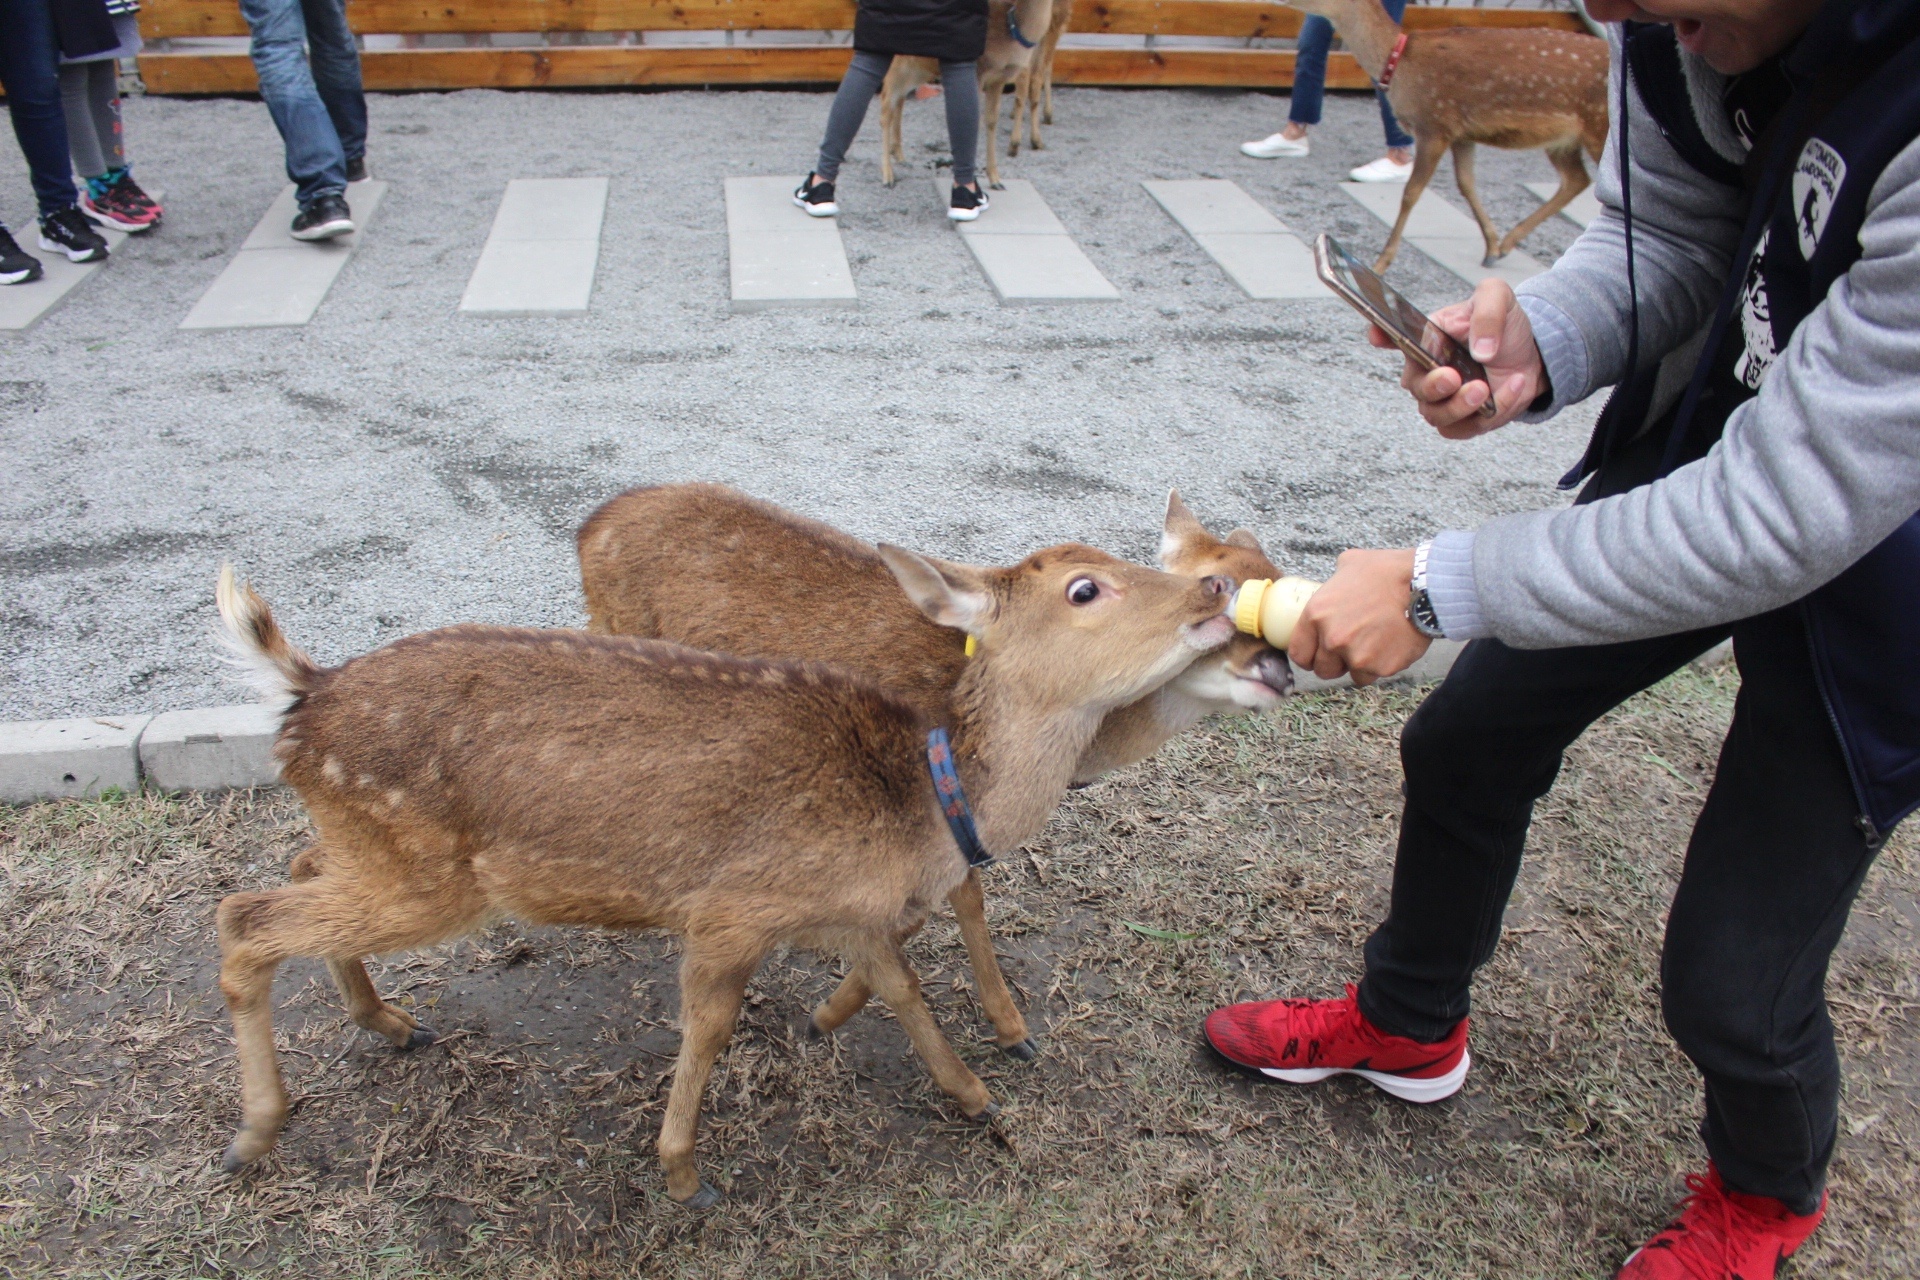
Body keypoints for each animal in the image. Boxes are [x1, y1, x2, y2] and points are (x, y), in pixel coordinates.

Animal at [210, 552, 1228, 1212]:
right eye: (1084, 585)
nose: (1216, 585)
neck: (918, 805)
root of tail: (304, 697)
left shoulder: (845, 911)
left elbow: (901, 987)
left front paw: (976, 1097)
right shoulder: (735, 909)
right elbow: (709, 1026)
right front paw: (682, 1176)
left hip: (375, 849)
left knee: (295, 871)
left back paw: (386, 1022)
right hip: (428, 878)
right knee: (244, 916)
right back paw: (253, 1134)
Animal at [568, 483, 1290, 1059]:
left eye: (1279, 586)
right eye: (1226, 591)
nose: (1278, 669)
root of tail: (589, 527)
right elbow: (961, 895)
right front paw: (998, 1028)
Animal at [879, 0, 1059, 189]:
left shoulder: (998, 80)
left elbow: (991, 122)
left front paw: (995, 180)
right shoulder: (977, 74)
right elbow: (974, 124)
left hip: (917, 69)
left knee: (898, 100)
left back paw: (899, 156)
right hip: (897, 63)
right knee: (885, 105)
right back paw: (888, 175)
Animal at [1297, 0, 1612, 272]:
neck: (1400, 67)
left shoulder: (1434, 124)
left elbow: (1411, 193)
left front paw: (1380, 264)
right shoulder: (1462, 134)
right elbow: (1466, 183)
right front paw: (1491, 248)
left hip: (1599, 126)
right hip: (1563, 141)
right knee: (1576, 179)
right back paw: (1508, 244)